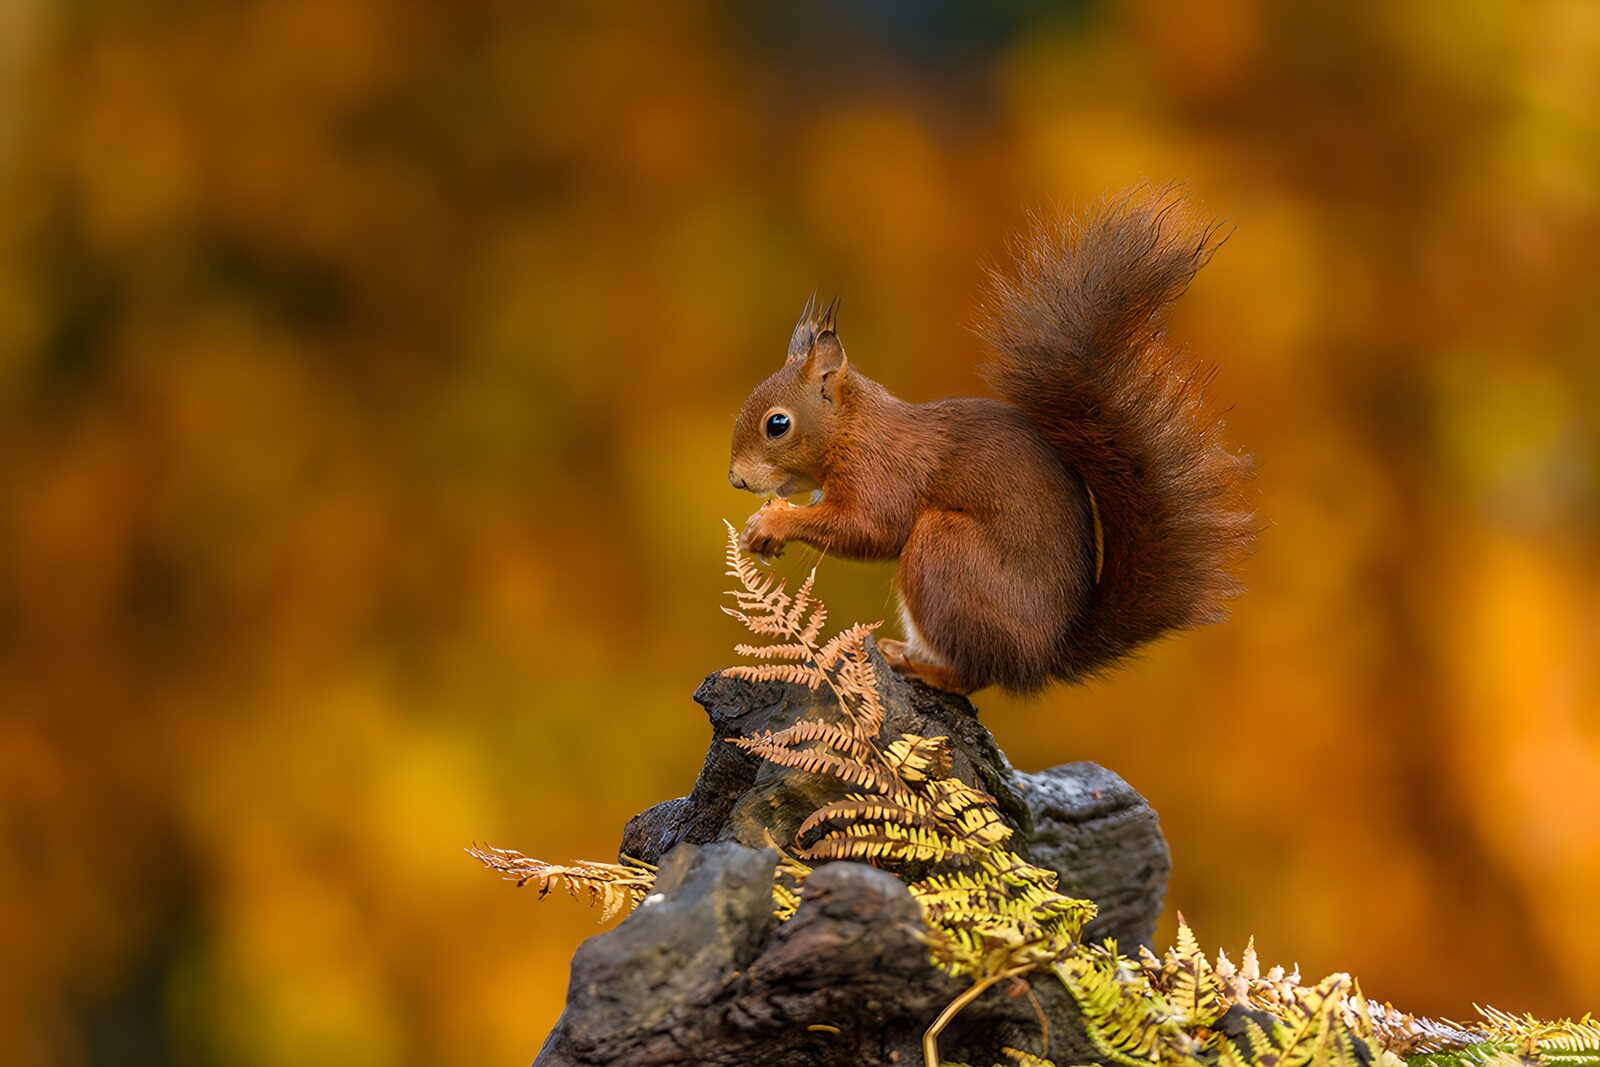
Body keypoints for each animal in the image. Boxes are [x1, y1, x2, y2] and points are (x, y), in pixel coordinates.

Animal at [728, 189, 1255, 695]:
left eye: (778, 424)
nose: (735, 480)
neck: (851, 429)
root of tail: (1043, 658)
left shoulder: (883, 471)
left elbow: (870, 528)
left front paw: (772, 522)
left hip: (946, 552)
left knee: (974, 675)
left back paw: (923, 669)